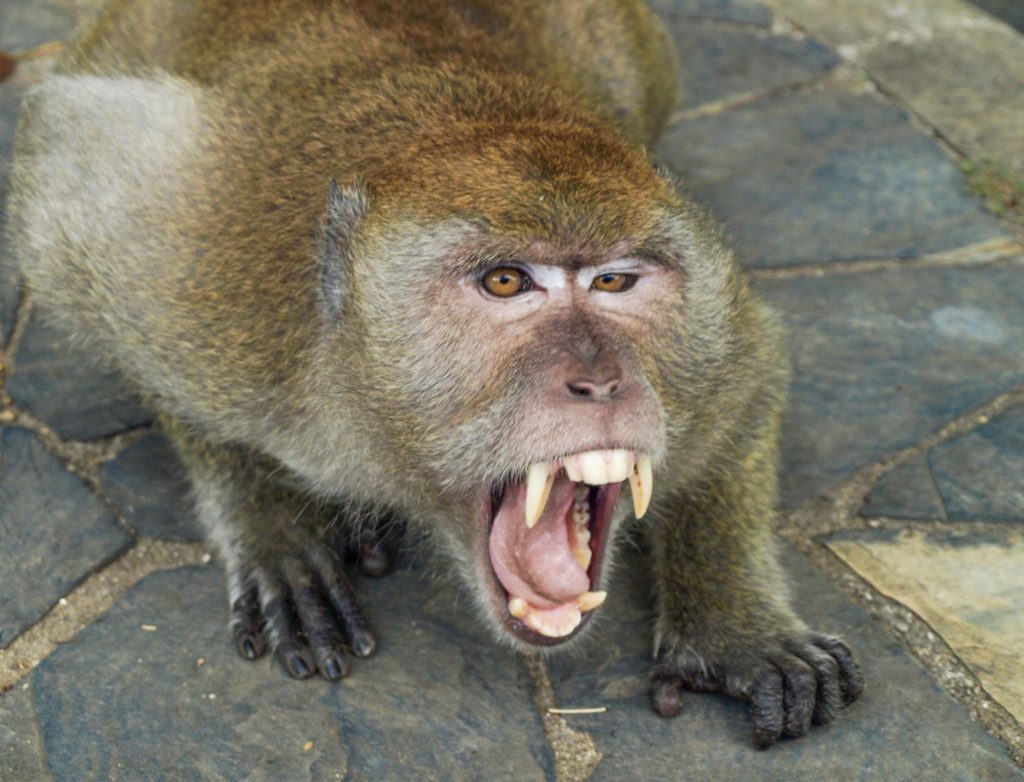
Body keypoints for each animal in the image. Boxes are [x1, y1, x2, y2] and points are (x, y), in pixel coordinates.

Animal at [9, 0, 863, 748]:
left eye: (615, 282)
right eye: (507, 282)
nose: (599, 382)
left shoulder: (711, 348)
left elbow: (753, 381)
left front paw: (733, 626)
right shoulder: (204, 279)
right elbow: (81, 231)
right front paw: (269, 518)